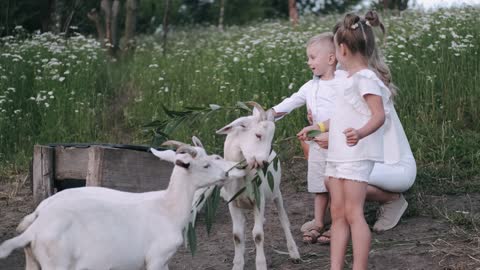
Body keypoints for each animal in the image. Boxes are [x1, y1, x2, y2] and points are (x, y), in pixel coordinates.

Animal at [0, 139, 246, 270]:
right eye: (206, 165)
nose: (226, 174)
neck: (167, 208)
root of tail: (34, 229)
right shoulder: (156, 257)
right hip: (56, 264)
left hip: (34, 262)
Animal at [215, 102, 298, 270]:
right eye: (258, 135)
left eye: (272, 138)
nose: (264, 163)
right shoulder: (233, 203)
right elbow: (237, 235)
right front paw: (238, 264)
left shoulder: (259, 201)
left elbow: (258, 235)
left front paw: (260, 264)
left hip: (276, 193)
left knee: (284, 220)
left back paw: (294, 252)